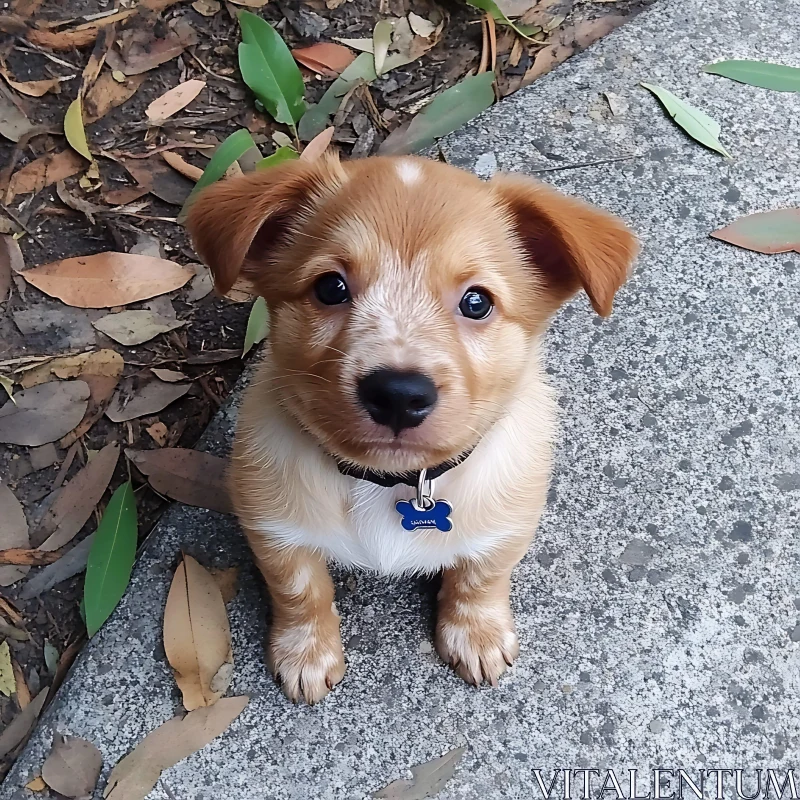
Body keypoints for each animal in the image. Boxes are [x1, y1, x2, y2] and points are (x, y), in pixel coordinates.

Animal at [188, 153, 636, 704]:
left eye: (477, 302)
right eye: (330, 287)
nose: (399, 395)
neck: (391, 483)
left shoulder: (510, 522)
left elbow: (481, 577)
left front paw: (477, 634)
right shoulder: (272, 524)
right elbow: (300, 588)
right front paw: (306, 652)